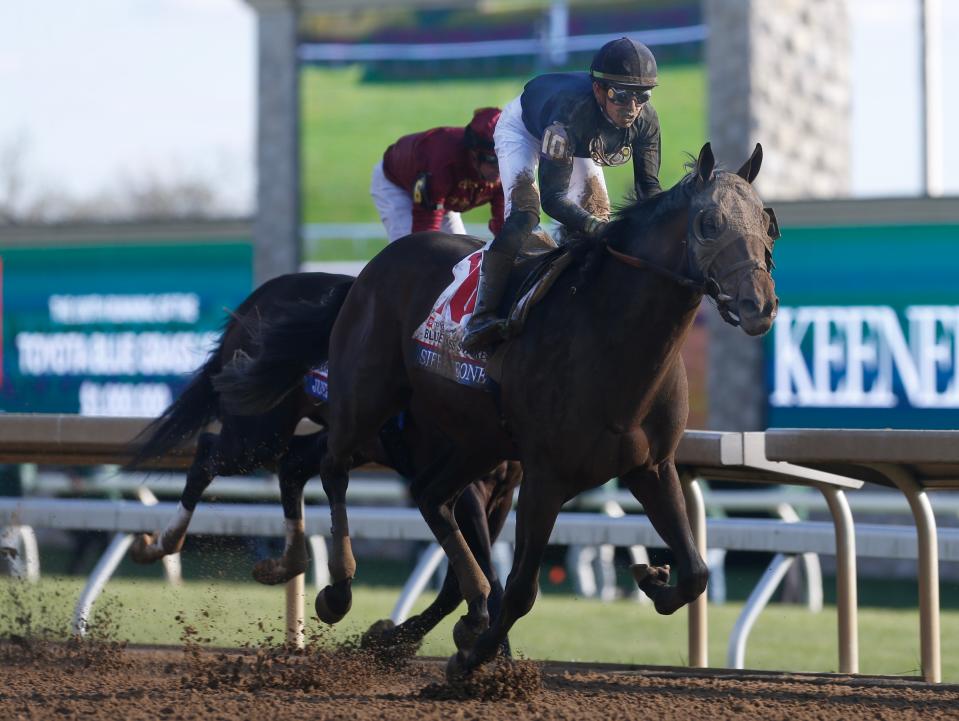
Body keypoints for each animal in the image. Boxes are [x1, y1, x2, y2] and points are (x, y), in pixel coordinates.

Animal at [130, 272, 520, 652]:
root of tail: (260, 295)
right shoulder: (464, 487)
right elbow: (478, 576)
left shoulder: (500, 493)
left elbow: (462, 580)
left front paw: (397, 638)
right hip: (258, 434)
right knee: (208, 454)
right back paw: (162, 543)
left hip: (338, 436)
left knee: (292, 465)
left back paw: (288, 562)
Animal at [223, 142, 780, 676]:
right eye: (710, 224)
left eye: (767, 221)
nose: (761, 306)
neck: (608, 338)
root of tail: (366, 273)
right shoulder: (546, 475)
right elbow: (521, 589)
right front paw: (473, 661)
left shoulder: (651, 466)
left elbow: (696, 572)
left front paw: (651, 577)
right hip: (366, 398)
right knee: (332, 466)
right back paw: (337, 590)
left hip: (476, 441)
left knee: (428, 496)